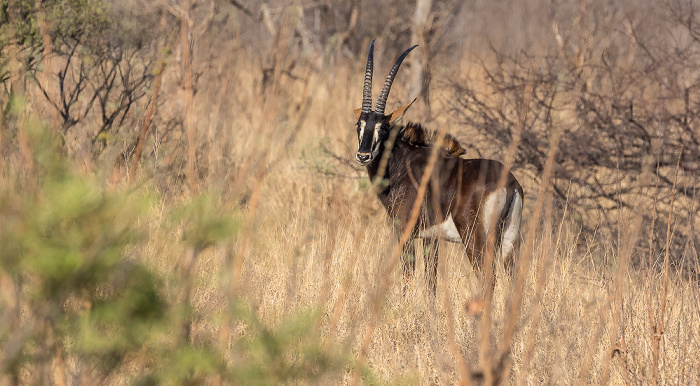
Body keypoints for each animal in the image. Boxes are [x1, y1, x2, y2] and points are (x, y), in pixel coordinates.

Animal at [356, 40, 520, 292]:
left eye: (383, 128)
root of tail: (509, 184)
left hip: (475, 238)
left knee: (487, 279)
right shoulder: (431, 238)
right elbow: (430, 282)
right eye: (359, 125)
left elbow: (408, 276)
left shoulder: (404, 232)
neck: (402, 165)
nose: (363, 155)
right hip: (509, 241)